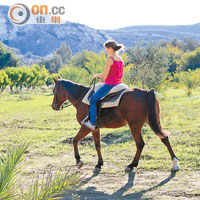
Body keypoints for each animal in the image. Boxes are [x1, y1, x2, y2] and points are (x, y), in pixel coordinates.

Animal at [51, 78, 180, 172]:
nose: (53, 106)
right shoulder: (95, 128)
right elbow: (97, 145)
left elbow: (74, 140)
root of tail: (146, 92)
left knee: (140, 144)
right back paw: (174, 164)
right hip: (152, 122)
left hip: (135, 125)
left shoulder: (86, 126)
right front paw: (99, 164)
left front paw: (78, 161)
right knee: (164, 138)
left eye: (54, 91)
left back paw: (132, 165)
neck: (82, 98)